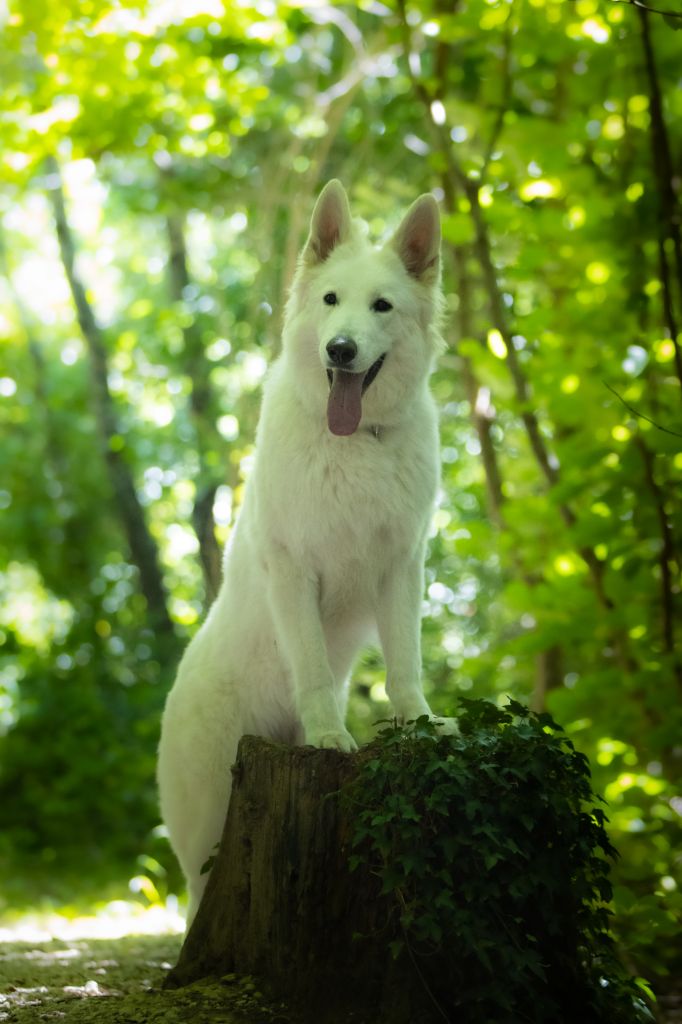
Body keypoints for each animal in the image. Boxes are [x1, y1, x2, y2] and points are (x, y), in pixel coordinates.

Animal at [158, 180, 454, 925]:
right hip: (205, 838)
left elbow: (405, 664)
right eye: (329, 300)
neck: (353, 441)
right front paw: (328, 737)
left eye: (382, 306)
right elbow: (316, 671)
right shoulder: (295, 570)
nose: (341, 350)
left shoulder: (401, 567)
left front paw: (418, 723)